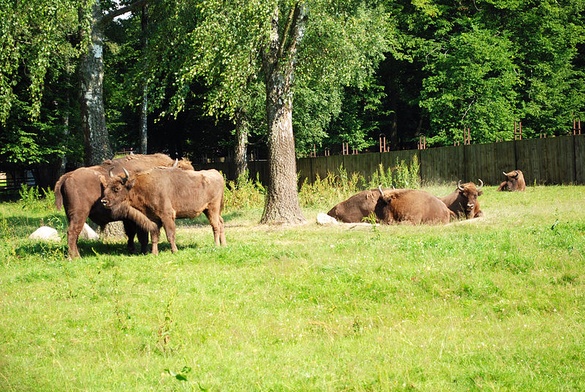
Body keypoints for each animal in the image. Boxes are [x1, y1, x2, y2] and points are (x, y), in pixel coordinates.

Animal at [53, 154, 193, 260]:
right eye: (182, 172)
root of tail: (68, 176)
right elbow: (142, 234)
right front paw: (144, 251)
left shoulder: (129, 218)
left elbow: (131, 234)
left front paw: (132, 250)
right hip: (79, 214)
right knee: (72, 232)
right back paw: (75, 257)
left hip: (71, 215)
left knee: (74, 234)